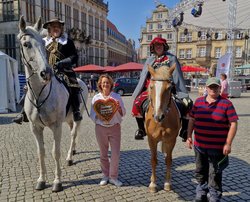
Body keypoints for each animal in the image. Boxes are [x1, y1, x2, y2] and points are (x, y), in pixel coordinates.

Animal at [17, 16, 88, 192]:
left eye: (43, 45)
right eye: (26, 44)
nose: (46, 73)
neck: (39, 94)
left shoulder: (56, 125)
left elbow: (55, 152)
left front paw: (57, 182)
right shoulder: (35, 127)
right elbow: (40, 152)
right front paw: (41, 180)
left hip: (77, 116)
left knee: (73, 133)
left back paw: (69, 157)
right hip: (68, 118)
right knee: (72, 132)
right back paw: (73, 151)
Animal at [145, 63, 182, 193]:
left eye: (169, 88)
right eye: (151, 87)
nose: (158, 116)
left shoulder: (171, 140)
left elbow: (169, 160)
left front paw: (167, 182)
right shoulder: (151, 140)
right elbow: (153, 160)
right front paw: (153, 183)